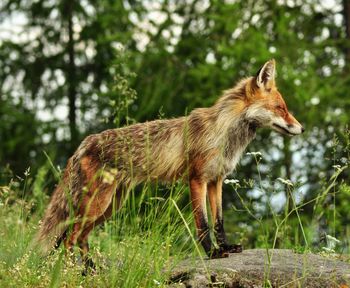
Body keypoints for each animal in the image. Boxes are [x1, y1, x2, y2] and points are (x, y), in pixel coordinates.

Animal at [34, 58, 304, 270]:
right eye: (280, 108)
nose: (302, 129)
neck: (223, 134)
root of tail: (83, 143)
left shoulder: (216, 181)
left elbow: (219, 221)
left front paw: (226, 246)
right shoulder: (197, 179)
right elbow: (203, 224)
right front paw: (213, 253)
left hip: (109, 206)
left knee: (79, 237)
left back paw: (92, 271)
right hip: (97, 204)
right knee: (69, 238)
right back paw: (75, 273)